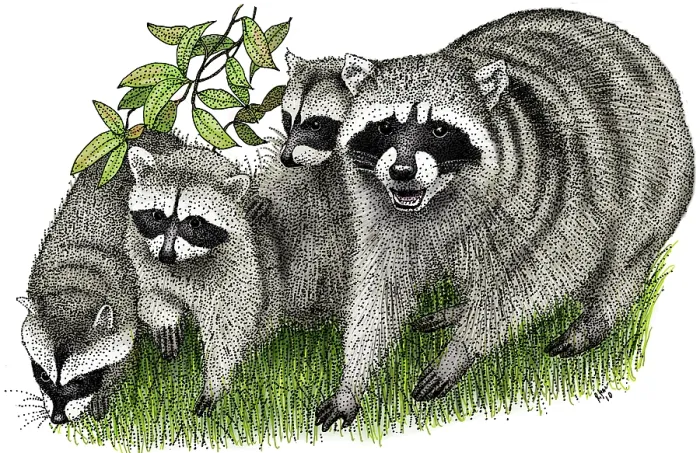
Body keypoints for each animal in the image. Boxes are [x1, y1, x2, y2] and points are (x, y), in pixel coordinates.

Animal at [124, 141, 282, 415]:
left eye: (195, 222)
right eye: (157, 215)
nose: (166, 255)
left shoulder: (237, 265)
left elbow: (230, 326)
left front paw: (215, 383)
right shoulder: (143, 254)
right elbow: (150, 295)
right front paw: (164, 317)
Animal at [316, 9, 694, 429]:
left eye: (439, 129)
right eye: (384, 127)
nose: (402, 171)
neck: (437, 199)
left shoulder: (554, 200)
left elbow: (534, 282)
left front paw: (460, 351)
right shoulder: (382, 219)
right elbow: (379, 291)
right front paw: (352, 380)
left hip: (657, 180)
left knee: (624, 260)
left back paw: (595, 321)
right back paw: (460, 309)